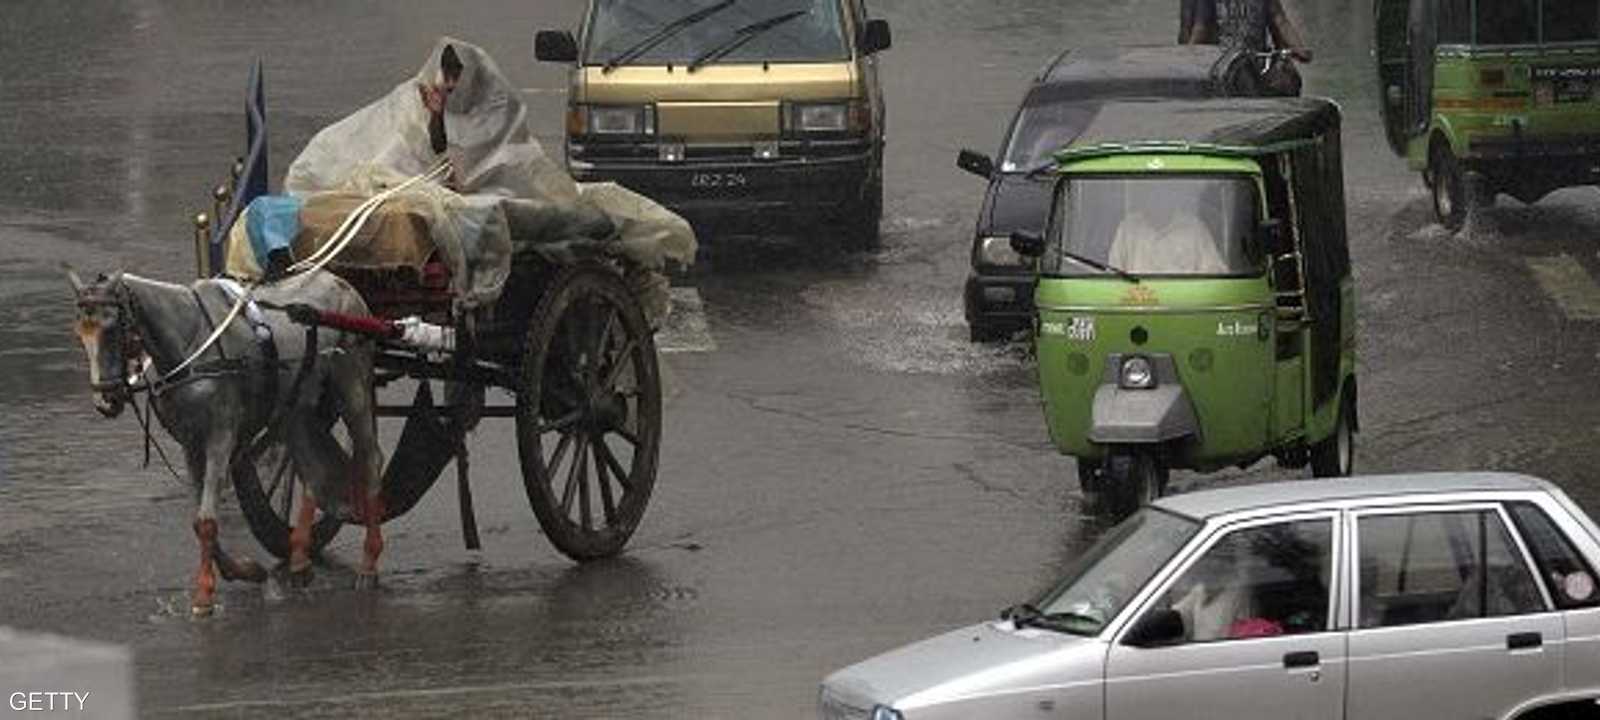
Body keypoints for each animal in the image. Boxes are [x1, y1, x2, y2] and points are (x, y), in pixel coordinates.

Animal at [64, 267, 388, 614]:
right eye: (80, 333)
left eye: (112, 327)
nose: (106, 400)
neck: (191, 342)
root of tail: (343, 284)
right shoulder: (191, 443)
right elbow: (198, 520)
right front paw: (245, 570)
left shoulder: (221, 436)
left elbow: (207, 520)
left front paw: (205, 596)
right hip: (304, 406)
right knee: (311, 471)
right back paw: (300, 558)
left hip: (353, 386)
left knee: (370, 458)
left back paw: (369, 562)